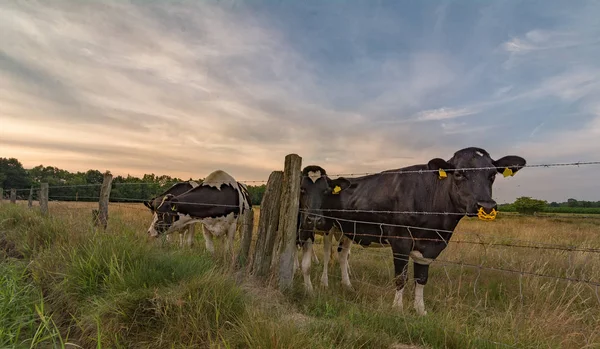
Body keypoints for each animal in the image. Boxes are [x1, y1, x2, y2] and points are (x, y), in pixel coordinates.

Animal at [298, 147, 524, 316]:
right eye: (459, 173)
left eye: (492, 174)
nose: (486, 206)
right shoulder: (400, 240)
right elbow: (401, 277)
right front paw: (397, 308)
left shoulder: (430, 246)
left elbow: (421, 279)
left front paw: (420, 310)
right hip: (327, 225)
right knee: (327, 254)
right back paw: (324, 283)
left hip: (347, 230)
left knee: (343, 255)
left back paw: (347, 285)